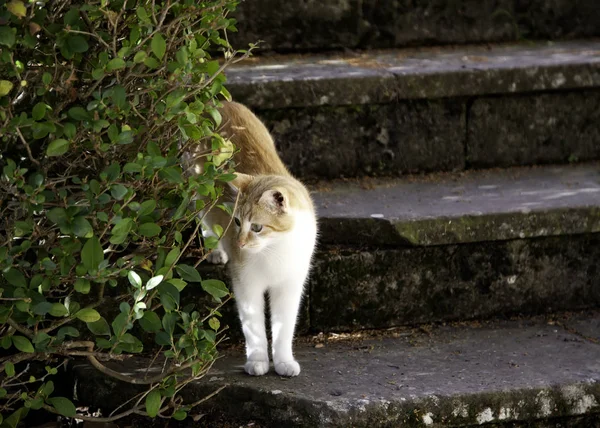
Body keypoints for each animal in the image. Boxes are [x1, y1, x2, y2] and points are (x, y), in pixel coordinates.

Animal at [184, 102, 318, 376]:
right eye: (236, 222)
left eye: (256, 227)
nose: (240, 243)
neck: (275, 250)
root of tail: (219, 102)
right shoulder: (246, 284)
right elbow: (254, 327)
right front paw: (257, 361)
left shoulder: (290, 286)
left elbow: (283, 328)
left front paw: (283, 361)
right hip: (199, 191)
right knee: (203, 219)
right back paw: (214, 250)